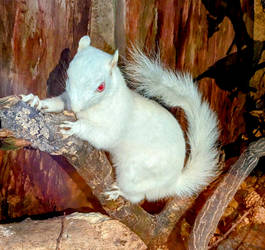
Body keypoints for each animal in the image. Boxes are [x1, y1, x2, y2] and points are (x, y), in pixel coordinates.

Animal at [21, 35, 218, 203]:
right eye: (68, 75)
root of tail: (172, 184)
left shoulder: (117, 122)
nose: (76, 108)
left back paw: (119, 192)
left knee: (138, 197)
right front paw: (37, 101)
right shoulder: (67, 100)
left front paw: (75, 127)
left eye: (101, 87)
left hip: (133, 174)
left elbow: (103, 137)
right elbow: (60, 102)